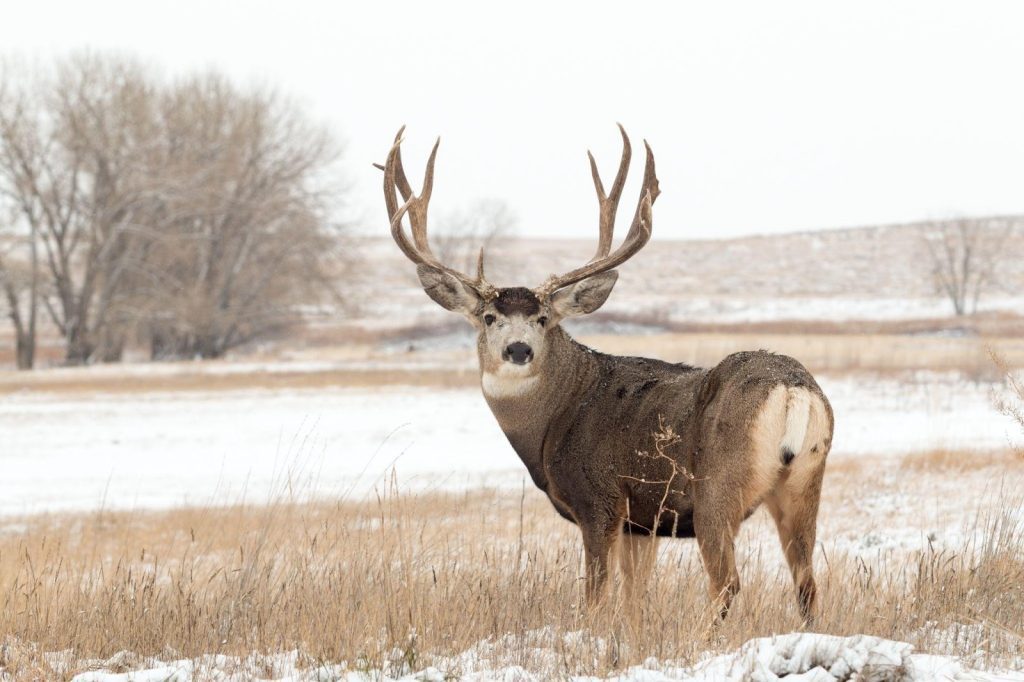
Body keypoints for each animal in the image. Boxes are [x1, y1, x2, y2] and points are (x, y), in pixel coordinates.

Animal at [378, 125, 834, 624]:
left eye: (543, 319)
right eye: (489, 317)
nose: (518, 349)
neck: (556, 419)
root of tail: (793, 390)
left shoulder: (600, 500)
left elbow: (597, 596)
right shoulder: (642, 520)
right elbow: (636, 597)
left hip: (717, 488)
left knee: (727, 584)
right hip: (805, 480)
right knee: (807, 583)